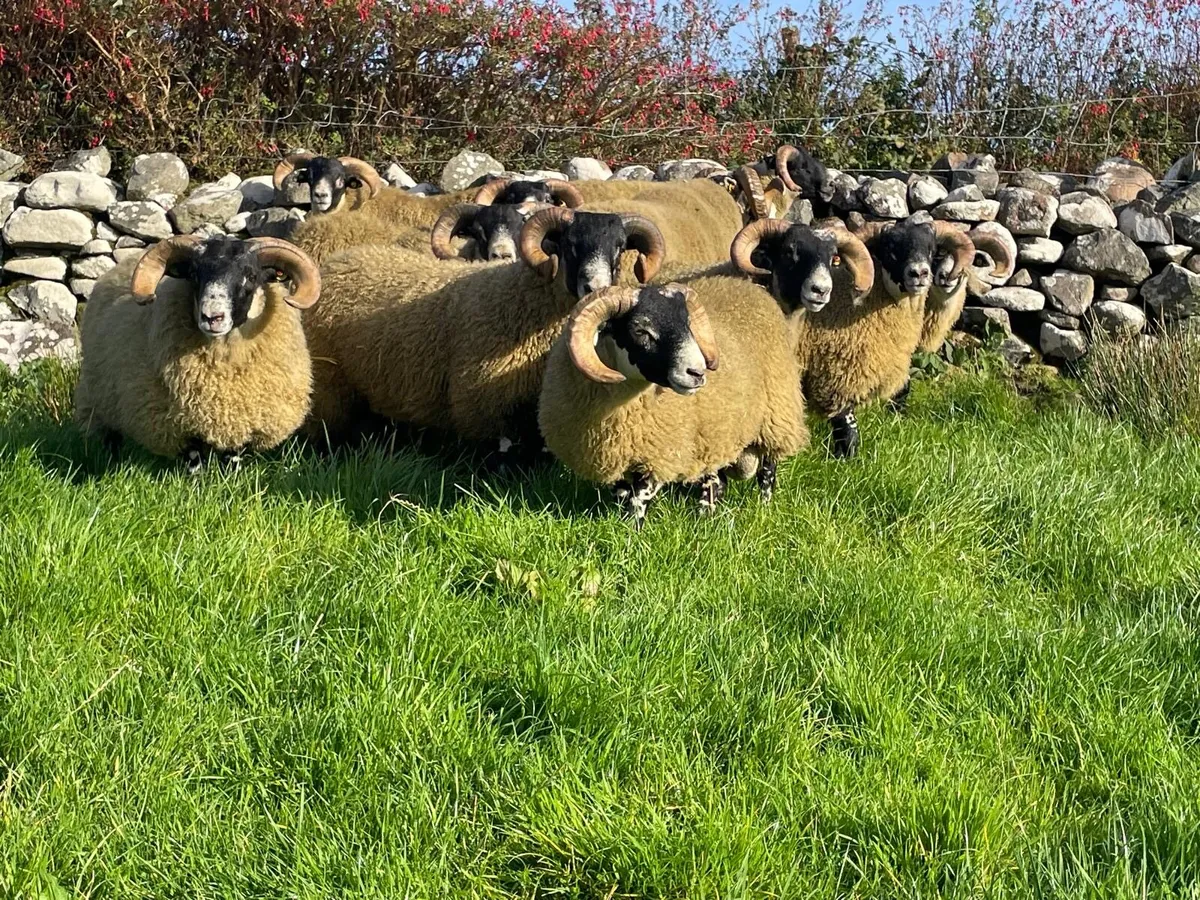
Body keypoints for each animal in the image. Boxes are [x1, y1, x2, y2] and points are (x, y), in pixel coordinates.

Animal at [75, 236, 322, 473]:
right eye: (194, 274)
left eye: (251, 275)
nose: (212, 317)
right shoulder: (182, 425)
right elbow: (195, 462)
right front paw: (197, 484)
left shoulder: (240, 420)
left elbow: (231, 460)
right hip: (100, 400)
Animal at [302, 206, 668, 450]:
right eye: (569, 244)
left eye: (619, 247)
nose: (596, 287)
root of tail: (340, 260)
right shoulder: (482, 408)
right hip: (331, 384)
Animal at [537, 280, 808, 527]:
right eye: (641, 331)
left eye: (688, 325)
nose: (697, 372)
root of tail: (751, 286)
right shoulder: (615, 455)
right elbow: (623, 494)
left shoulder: (661, 453)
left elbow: (639, 500)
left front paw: (632, 536)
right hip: (715, 435)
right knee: (717, 482)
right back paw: (705, 518)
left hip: (776, 416)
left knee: (767, 473)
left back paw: (763, 510)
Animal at [732, 216, 972, 457]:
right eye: (891, 248)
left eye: (931, 250)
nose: (920, 273)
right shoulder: (835, 375)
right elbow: (846, 425)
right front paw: (843, 458)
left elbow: (901, 394)